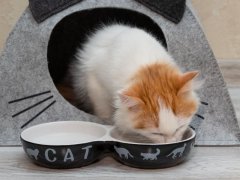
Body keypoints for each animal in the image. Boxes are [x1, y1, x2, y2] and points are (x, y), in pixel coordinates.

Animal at [71, 23, 201, 143]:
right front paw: (108, 122)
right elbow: (104, 111)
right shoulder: (95, 83)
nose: (171, 143)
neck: (147, 67)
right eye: (156, 134)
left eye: (179, 128)